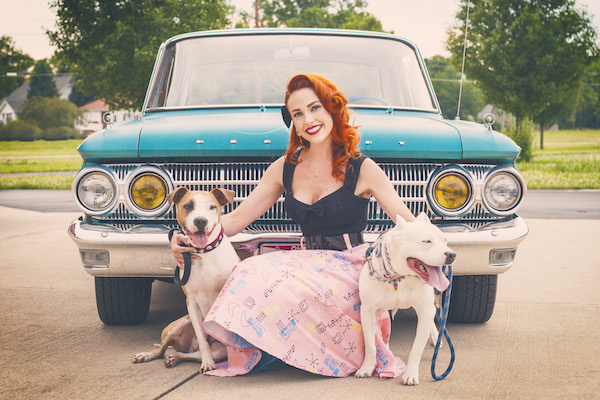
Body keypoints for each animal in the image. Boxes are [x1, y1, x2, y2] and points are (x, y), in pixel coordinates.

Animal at [133, 188, 239, 372]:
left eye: (212, 206)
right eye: (188, 206)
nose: (201, 220)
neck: (205, 252)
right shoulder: (192, 302)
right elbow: (203, 340)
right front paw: (208, 363)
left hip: (218, 350)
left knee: (190, 354)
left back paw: (175, 357)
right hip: (178, 325)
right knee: (162, 349)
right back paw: (148, 355)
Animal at [356, 212, 454, 384]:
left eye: (445, 240)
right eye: (426, 241)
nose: (451, 254)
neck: (398, 277)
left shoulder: (424, 309)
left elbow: (416, 349)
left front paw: (411, 374)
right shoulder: (367, 309)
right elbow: (370, 343)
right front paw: (367, 367)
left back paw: (435, 335)